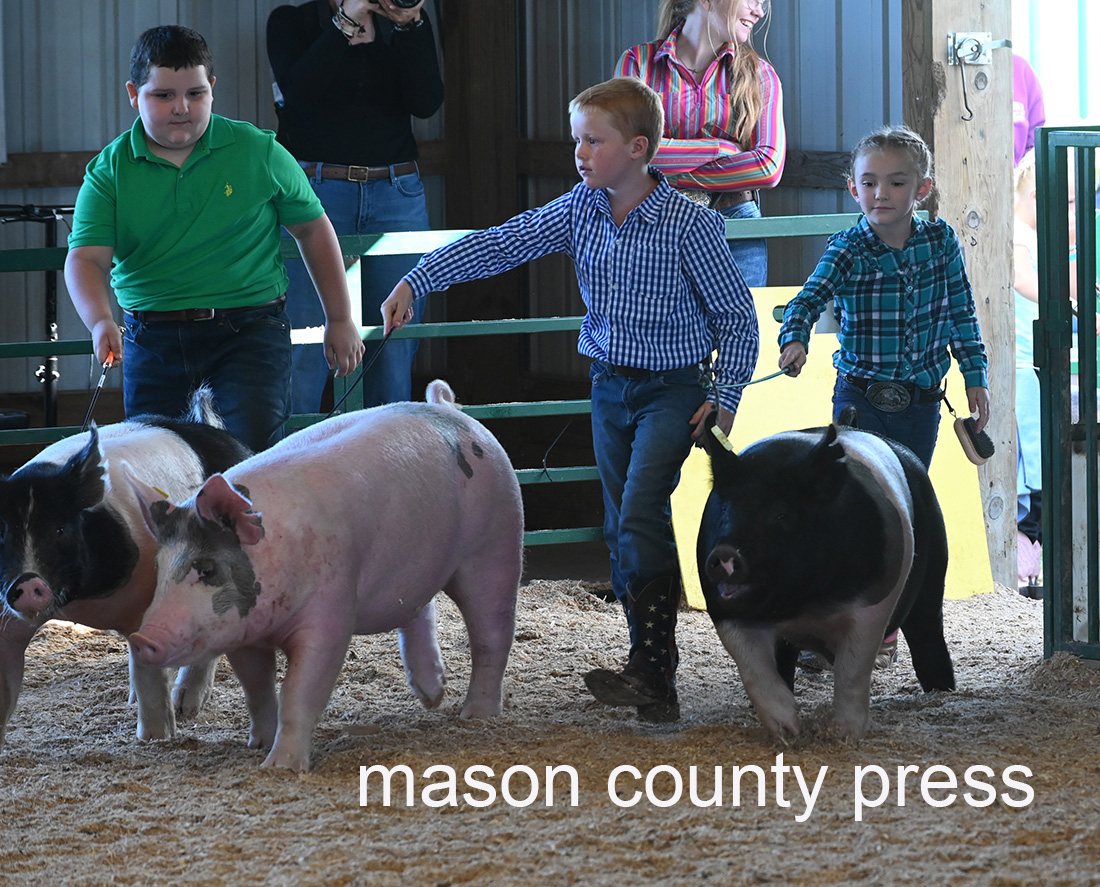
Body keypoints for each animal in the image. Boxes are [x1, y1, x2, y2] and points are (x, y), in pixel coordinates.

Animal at [0, 391, 251, 748]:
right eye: (2, 532)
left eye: (60, 529)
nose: (27, 583)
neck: (77, 601)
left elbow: (149, 678)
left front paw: (157, 738)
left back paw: (185, 706)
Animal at [126, 378, 521, 774]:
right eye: (159, 569)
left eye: (206, 569)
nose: (143, 638)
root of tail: (448, 410)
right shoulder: (244, 634)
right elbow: (257, 689)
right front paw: (260, 744)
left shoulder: (331, 610)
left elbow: (300, 690)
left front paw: (281, 768)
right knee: (419, 610)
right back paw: (432, 697)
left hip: (496, 541)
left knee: (492, 632)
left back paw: (475, 715)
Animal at [695, 424, 954, 743]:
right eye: (725, 509)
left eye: (782, 513)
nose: (725, 553)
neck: (802, 604)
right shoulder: (724, 611)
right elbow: (753, 669)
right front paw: (789, 731)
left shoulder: (872, 605)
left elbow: (852, 669)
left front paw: (844, 735)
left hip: (934, 574)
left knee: (927, 630)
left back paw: (943, 690)